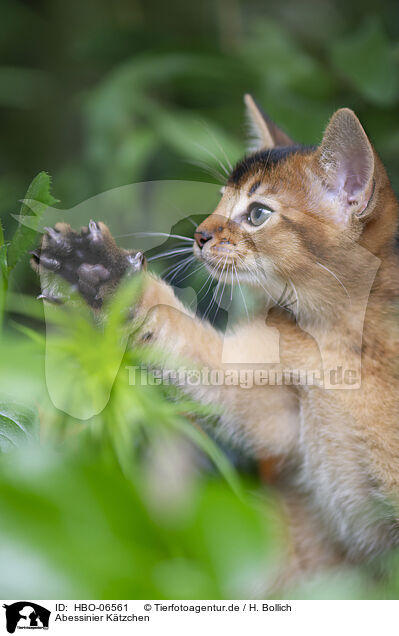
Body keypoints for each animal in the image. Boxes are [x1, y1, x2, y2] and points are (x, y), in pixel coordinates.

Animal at [31, 95, 399, 588]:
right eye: (220, 199)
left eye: (258, 213)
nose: (199, 234)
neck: (336, 339)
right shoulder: (276, 414)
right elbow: (185, 343)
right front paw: (96, 272)